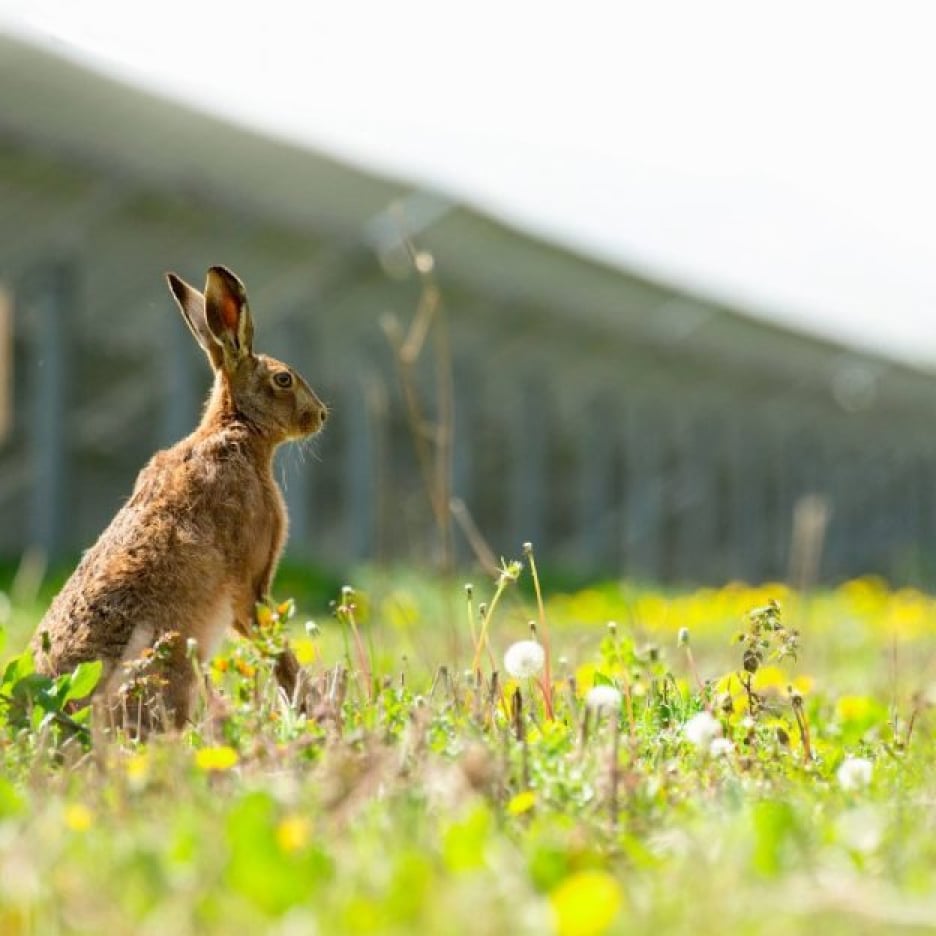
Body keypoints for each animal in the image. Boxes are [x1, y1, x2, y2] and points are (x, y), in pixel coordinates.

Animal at [30, 265, 328, 730]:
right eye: (284, 379)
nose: (321, 416)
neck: (238, 428)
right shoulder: (251, 582)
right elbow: (270, 644)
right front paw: (306, 709)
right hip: (168, 664)